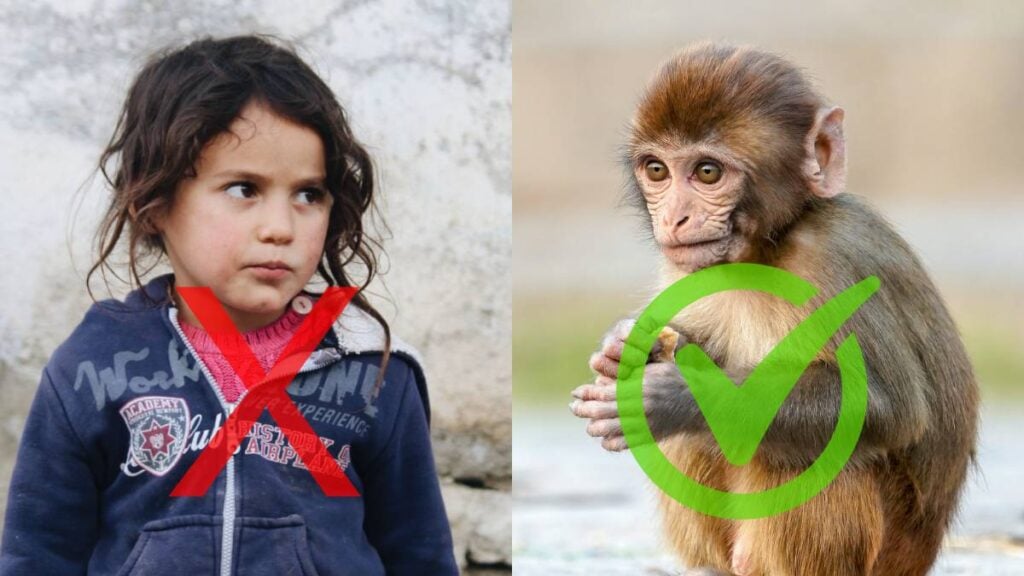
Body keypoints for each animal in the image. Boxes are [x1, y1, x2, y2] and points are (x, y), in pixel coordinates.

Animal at [569, 43, 978, 576]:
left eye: (707, 172)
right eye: (657, 170)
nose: (674, 217)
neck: (767, 249)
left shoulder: (836, 259)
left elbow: (889, 408)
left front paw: (675, 396)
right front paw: (622, 346)